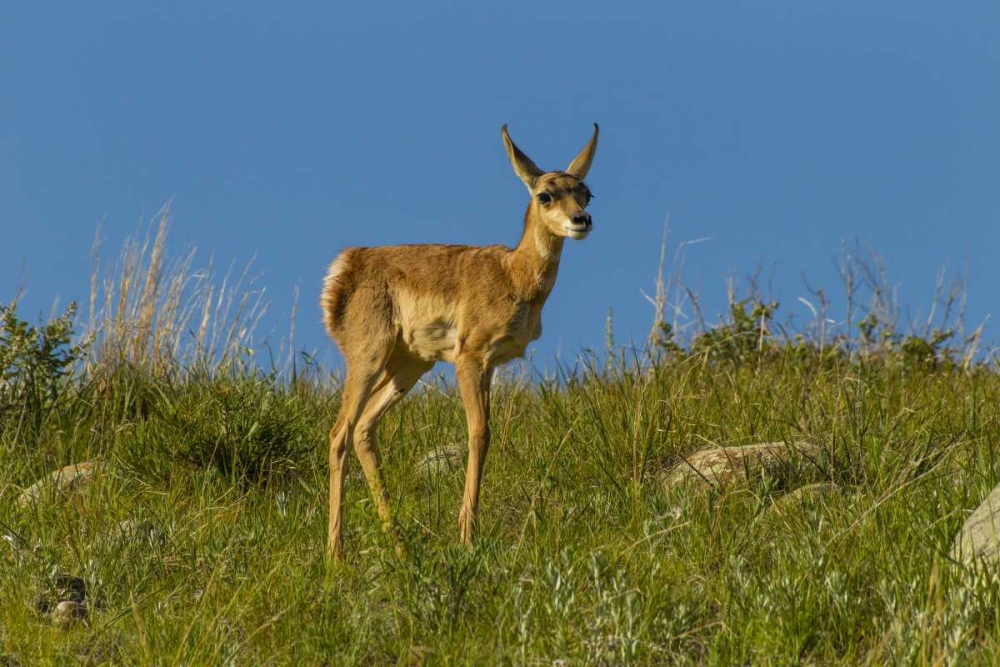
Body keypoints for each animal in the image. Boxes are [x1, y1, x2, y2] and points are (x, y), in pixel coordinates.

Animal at [320, 123, 599, 558]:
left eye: (586, 192)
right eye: (545, 194)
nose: (581, 220)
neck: (513, 274)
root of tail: (349, 264)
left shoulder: (490, 365)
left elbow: (486, 432)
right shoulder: (470, 358)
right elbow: (479, 433)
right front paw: (468, 533)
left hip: (411, 366)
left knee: (364, 428)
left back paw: (399, 545)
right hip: (369, 359)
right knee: (339, 434)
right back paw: (336, 553)